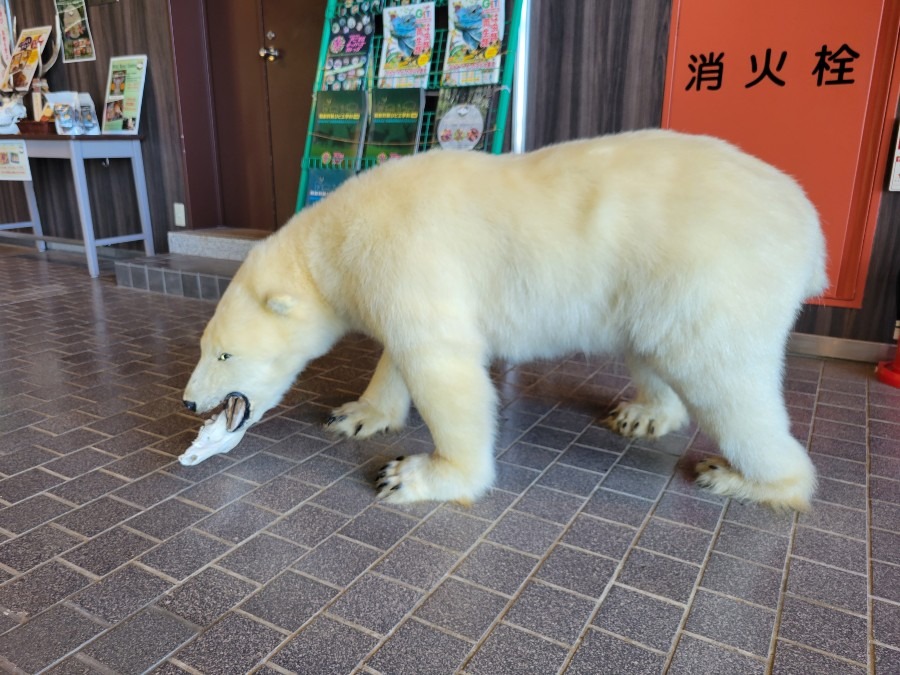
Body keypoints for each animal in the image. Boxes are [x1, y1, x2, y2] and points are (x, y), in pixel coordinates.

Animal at [183, 129, 828, 512]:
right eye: (206, 345)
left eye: (224, 354)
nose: (190, 402)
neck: (336, 241)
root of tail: (807, 225)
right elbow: (398, 353)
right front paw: (358, 414)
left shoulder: (404, 252)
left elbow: (442, 365)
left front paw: (415, 476)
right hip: (652, 283)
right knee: (655, 350)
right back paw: (643, 414)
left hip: (712, 273)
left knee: (723, 379)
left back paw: (748, 479)